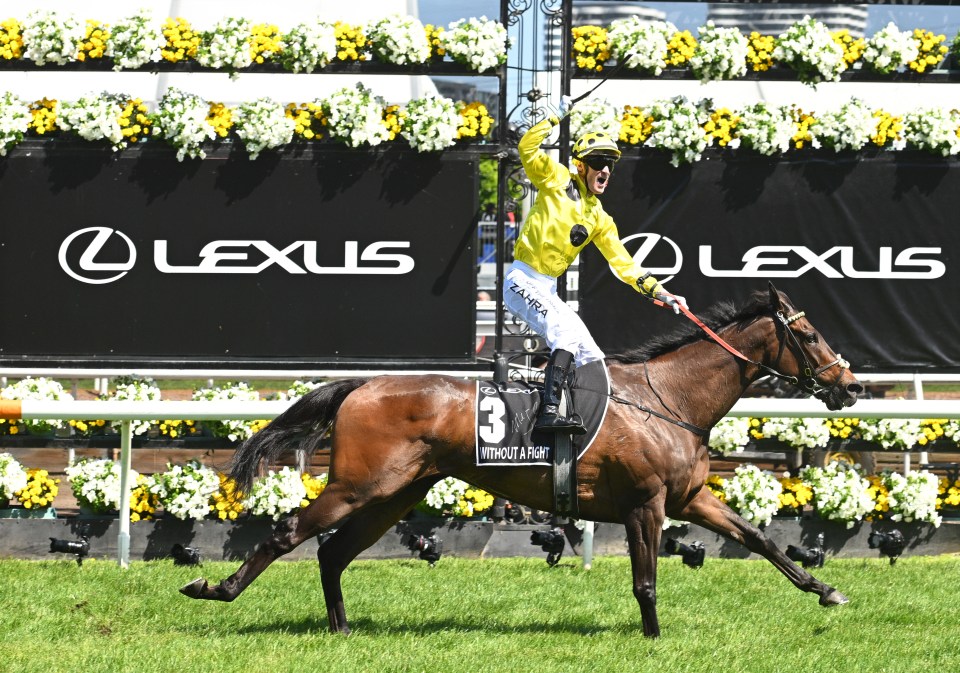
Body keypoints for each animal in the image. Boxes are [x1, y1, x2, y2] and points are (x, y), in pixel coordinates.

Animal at [180, 282, 864, 636]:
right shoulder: (644, 503)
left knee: (332, 552)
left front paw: (826, 590)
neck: (669, 398)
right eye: (808, 334)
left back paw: (341, 627)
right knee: (289, 534)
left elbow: (759, 538)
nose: (851, 385)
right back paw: (216, 588)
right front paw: (652, 636)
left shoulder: (689, 496)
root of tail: (363, 384)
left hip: (395, 493)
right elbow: (645, 579)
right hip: (358, 485)